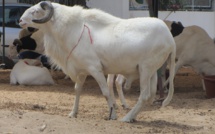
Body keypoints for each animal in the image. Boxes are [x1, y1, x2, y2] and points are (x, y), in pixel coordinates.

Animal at [19, 1, 176, 122]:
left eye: (35, 11)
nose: (20, 20)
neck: (74, 29)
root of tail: (169, 37)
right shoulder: (82, 71)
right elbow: (77, 90)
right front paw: (73, 113)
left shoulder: (95, 69)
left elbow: (106, 92)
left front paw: (112, 115)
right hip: (151, 72)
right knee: (150, 96)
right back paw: (132, 117)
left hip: (145, 69)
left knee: (144, 96)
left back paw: (126, 118)